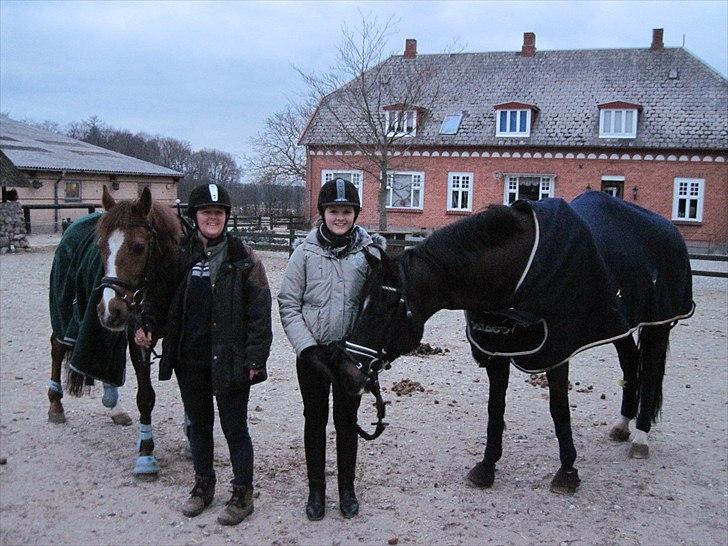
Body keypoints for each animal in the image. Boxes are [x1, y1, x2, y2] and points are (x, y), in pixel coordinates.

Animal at [47, 185, 182, 477]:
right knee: (57, 346)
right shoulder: (138, 337)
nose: (111, 308)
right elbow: (146, 397)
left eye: (139, 246)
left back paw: (113, 406)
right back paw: (55, 405)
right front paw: (146, 453)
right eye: (100, 247)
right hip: (64, 312)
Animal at [338, 191, 694, 494]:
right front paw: (486, 467)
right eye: (358, 299)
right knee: (631, 363)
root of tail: (668, 229)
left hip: (658, 326)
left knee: (650, 372)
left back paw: (641, 437)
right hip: (620, 325)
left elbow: (559, 409)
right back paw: (622, 424)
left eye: (387, 306)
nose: (351, 370)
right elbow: (495, 408)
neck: (514, 271)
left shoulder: (556, 351)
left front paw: (567, 472)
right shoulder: (496, 349)